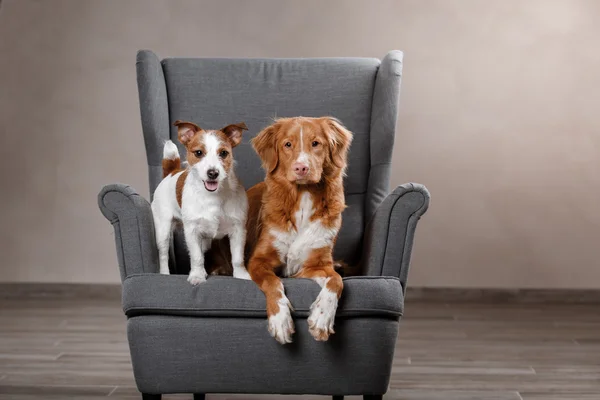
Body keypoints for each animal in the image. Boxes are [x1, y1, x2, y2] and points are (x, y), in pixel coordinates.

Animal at [152, 119, 253, 284]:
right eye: (198, 153)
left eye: (223, 153)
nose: (213, 173)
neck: (213, 196)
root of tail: (171, 172)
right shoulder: (192, 232)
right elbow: (196, 257)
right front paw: (197, 275)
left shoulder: (238, 230)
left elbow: (238, 258)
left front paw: (241, 275)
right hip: (163, 229)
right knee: (163, 254)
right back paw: (165, 274)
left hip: (205, 241)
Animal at [246, 115, 354, 344]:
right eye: (287, 144)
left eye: (316, 143)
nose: (301, 168)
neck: (303, 195)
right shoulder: (258, 260)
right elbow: (273, 282)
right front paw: (280, 320)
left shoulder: (315, 265)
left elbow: (337, 281)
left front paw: (321, 318)